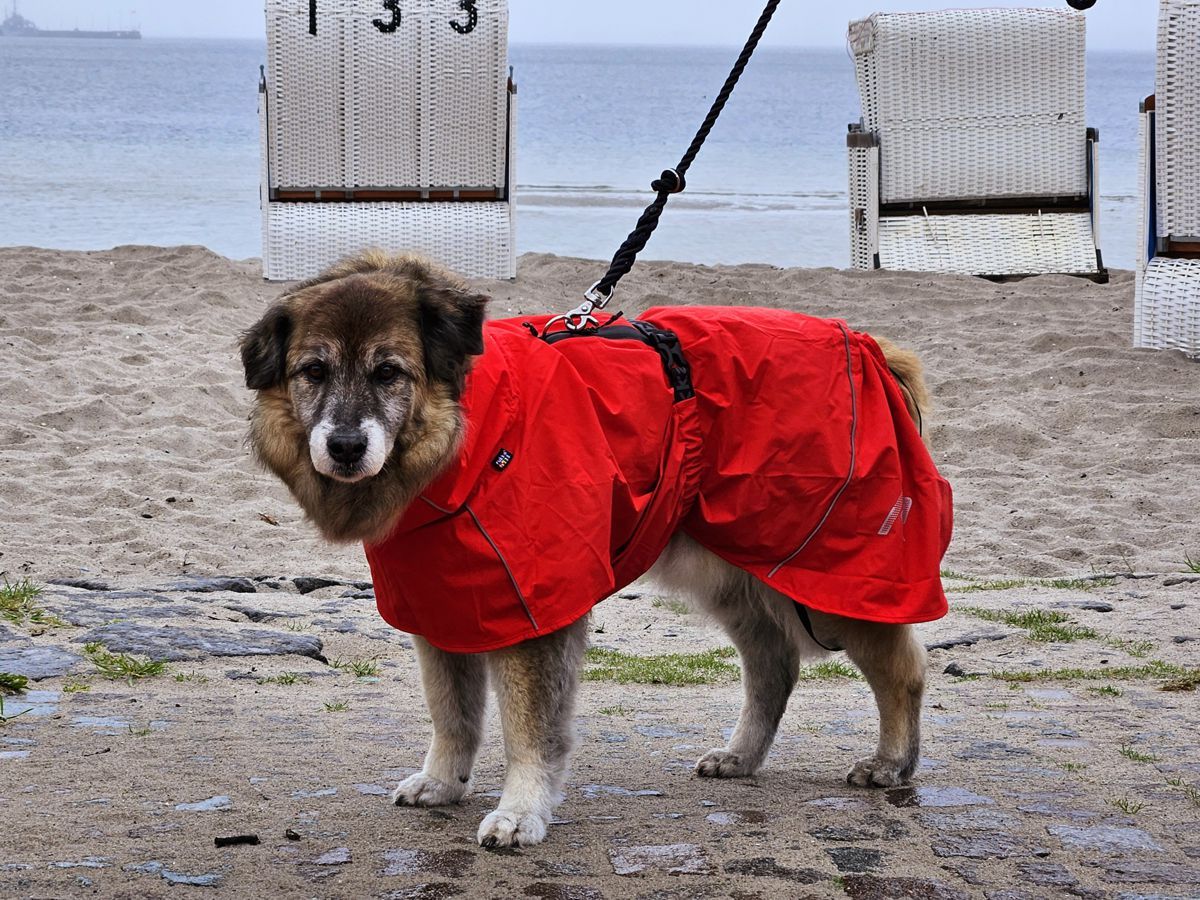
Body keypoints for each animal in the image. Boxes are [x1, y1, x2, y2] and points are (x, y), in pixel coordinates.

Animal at [241, 254, 955, 854]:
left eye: (388, 372)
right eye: (314, 372)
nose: (344, 447)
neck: (472, 445)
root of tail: (869, 346)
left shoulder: (534, 614)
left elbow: (530, 730)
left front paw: (520, 812)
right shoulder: (441, 605)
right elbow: (453, 714)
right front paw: (442, 782)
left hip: (833, 578)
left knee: (901, 669)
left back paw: (891, 762)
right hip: (735, 575)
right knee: (774, 665)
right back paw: (743, 756)